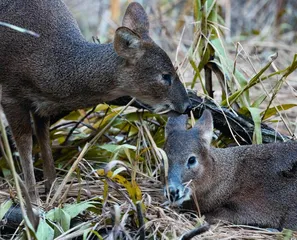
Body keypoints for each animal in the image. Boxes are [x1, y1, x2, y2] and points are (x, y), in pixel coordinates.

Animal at [0, 0, 190, 204]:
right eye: (165, 76)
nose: (187, 105)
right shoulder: (10, 94)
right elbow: (25, 143)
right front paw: (33, 200)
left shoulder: (41, 104)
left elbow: (44, 137)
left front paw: (52, 188)